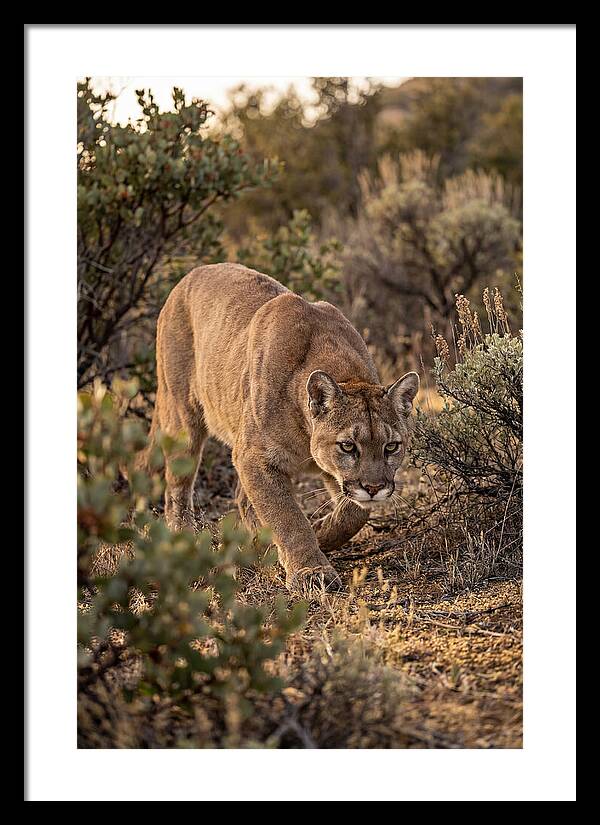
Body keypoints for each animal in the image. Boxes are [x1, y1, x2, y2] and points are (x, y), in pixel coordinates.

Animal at [142, 263, 419, 592]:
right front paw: (311, 571)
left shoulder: (328, 472)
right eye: (348, 446)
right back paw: (183, 538)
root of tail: (190, 274)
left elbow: (354, 512)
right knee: (177, 489)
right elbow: (287, 516)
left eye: (391, 446)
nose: (374, 488)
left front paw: (321, 532)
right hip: (183, 417)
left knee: (241, 497)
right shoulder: (255, 457)